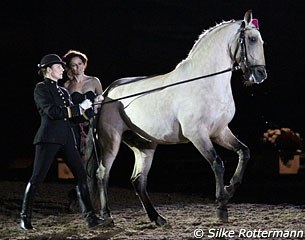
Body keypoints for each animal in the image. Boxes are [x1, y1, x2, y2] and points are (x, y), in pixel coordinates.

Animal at [94, 10, 266, 226]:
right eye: (251, 39)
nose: (260, 74)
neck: (206, 82)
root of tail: (109, 92)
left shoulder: (220, 132)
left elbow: (244, 152)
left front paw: (230, 188)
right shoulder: (197, 134)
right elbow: (218, 164)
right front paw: (221, 206)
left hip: (144, 145)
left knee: (138, 180)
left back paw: (157, 218)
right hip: (111, 141)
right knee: (103, 174)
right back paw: (107, 216)